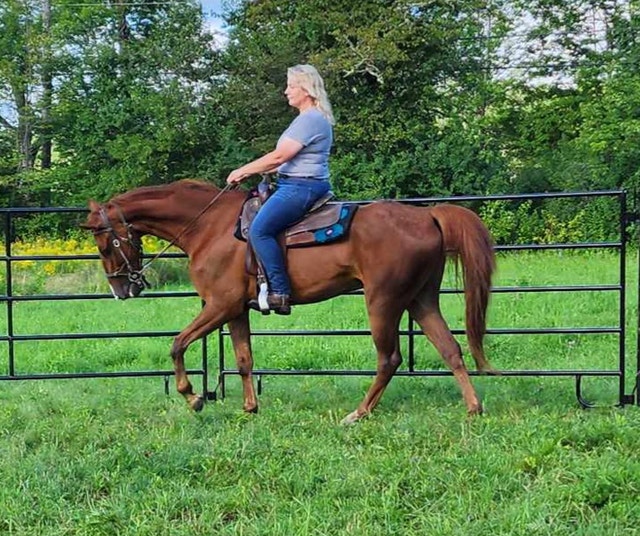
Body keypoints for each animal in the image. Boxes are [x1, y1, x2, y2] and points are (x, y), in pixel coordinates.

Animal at [81, 179, 496, 424]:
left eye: (104, 244)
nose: (122, 289)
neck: (209, 227)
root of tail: (427, 216)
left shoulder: (218, 305)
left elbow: (177, 344)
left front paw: (193, 397)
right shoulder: (235, 310)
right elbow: (244, 359)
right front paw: (250, 407)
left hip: (383, 301)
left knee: (389, 359)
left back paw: (358, 413)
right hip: (421, 300)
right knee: (450, 348)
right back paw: (474, 407)